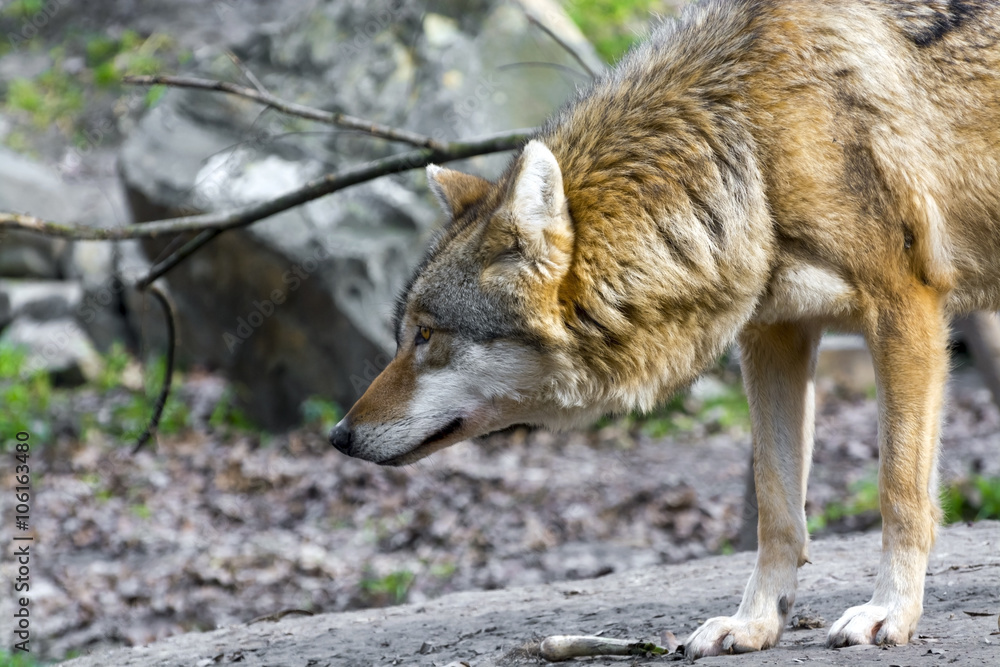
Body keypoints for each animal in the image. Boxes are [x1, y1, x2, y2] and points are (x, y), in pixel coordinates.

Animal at [330, 0, 1000, 658]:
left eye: (426, 334)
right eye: (405, 334)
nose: (338, 436)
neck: (753, 138)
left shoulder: (905, 310)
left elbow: (899, 491)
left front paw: (891, 612)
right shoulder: (774, 337)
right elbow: (775, 507)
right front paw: (755, 623)